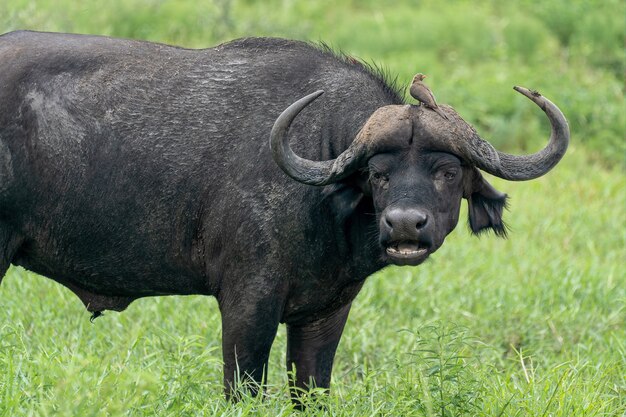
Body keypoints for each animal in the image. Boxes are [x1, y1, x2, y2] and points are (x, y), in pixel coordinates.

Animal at [0, 30, 564, 398]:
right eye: (378, 173)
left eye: (447, 171)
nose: (405, 224)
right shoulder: (247, 304)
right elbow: (243, 389)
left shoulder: (326, 312)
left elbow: (311, 390)